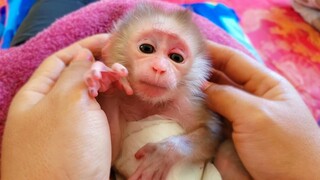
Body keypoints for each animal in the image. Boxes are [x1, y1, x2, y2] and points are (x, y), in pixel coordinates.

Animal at [84, 3, 222, 180]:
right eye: (146, 48)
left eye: (176, 58)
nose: (159, 68)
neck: (148, 103)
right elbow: (111, 155)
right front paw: (107, 80)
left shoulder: (188, 105)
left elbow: (212, 132)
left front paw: (164, 154)